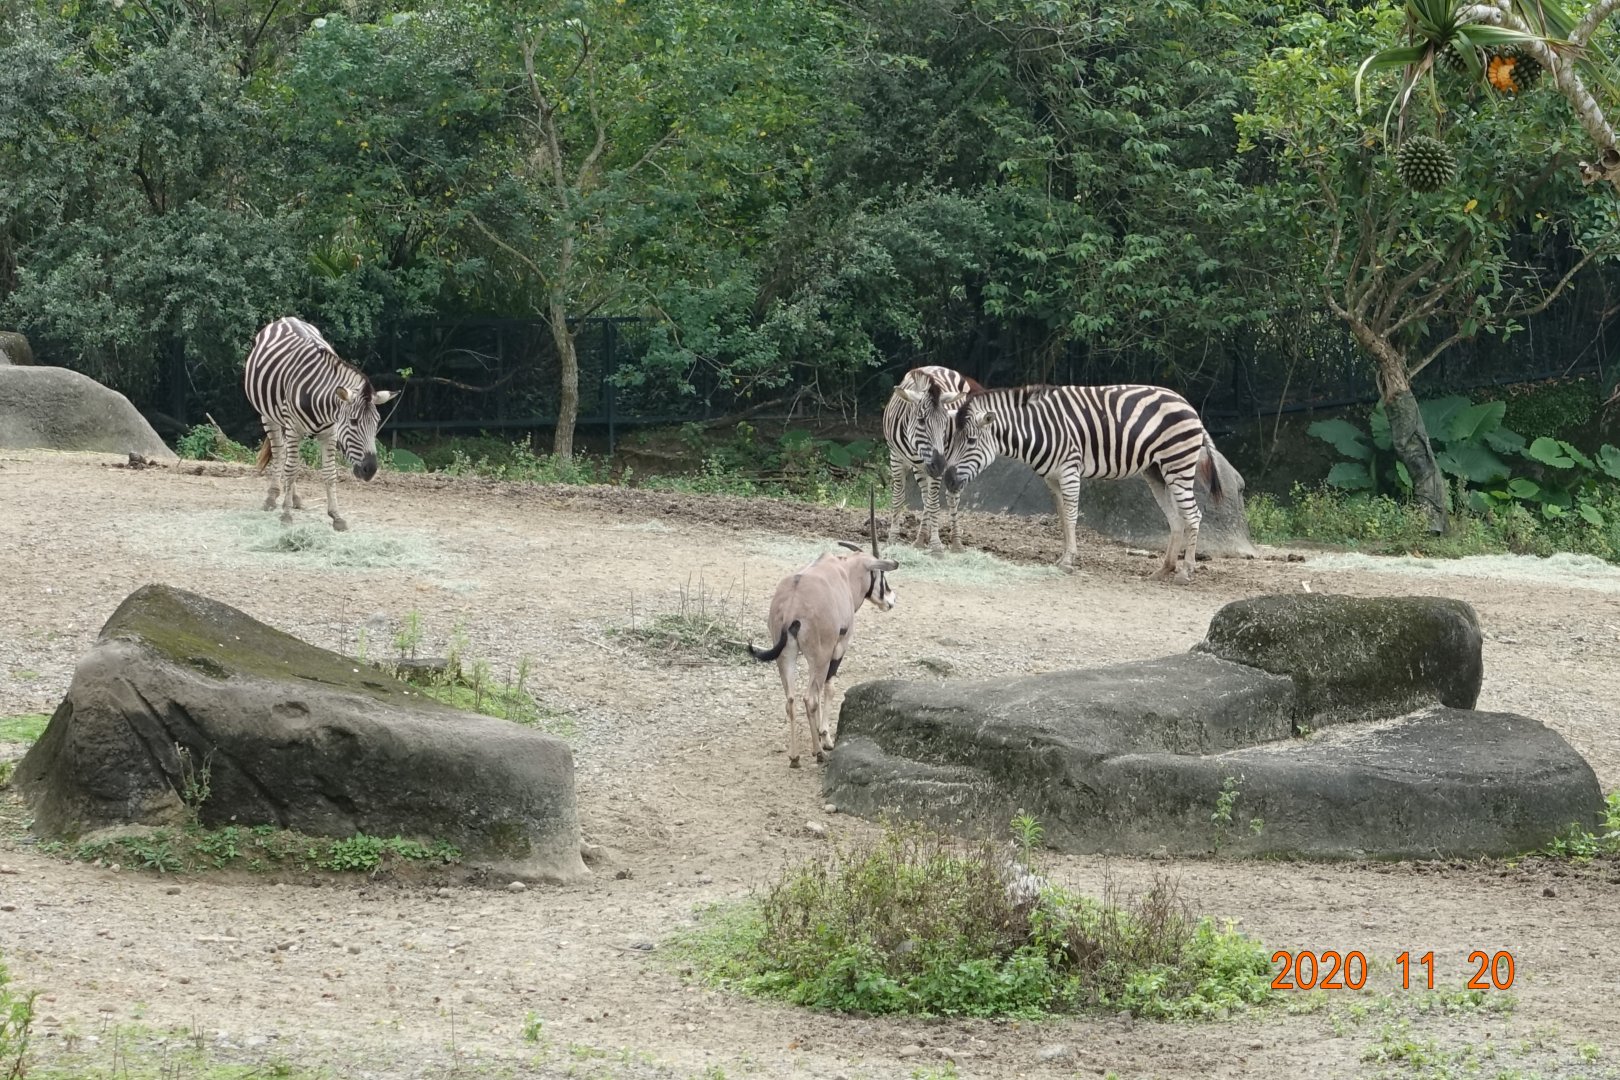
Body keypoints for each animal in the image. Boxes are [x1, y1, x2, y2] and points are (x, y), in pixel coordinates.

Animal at [243, 317, 397, 532]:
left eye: (376, 424)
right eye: (353, 422)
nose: (371, 470)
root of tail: (285, 318)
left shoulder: (330, 433)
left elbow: (329, 473)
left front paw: (336, 516)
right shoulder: (294, 428)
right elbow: (291, 469)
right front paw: (286, 516)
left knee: (289, 458)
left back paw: (294, 498)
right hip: (268, 416)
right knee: (281, 453)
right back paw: (272, 497)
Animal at [882, 365, 981, 554]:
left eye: (946, 423)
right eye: (921, 421)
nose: (940, 464)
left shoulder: (938, 465)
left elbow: (934, 503)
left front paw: (936, 545)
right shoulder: (895, 458)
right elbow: (899, 497)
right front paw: (892, 538)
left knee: (951, 497)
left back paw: (956, 543)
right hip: (921, 468)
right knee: (925, 495)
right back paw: (920, 540)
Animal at [931, 383, 1223, 582]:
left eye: (970, 441)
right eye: (951, 441)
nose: (948, 479)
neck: (1037, 429)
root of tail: (1189, 406)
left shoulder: (1070, 470)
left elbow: (1072, 516)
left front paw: (1068, 560)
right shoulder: (1051, 478)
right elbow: (1062, 518)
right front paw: (1063, 556)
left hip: (1177, 465)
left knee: (1193, 515)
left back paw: (1185, 572)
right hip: (1156, 472)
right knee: (1176, 519)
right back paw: (1164, 569)